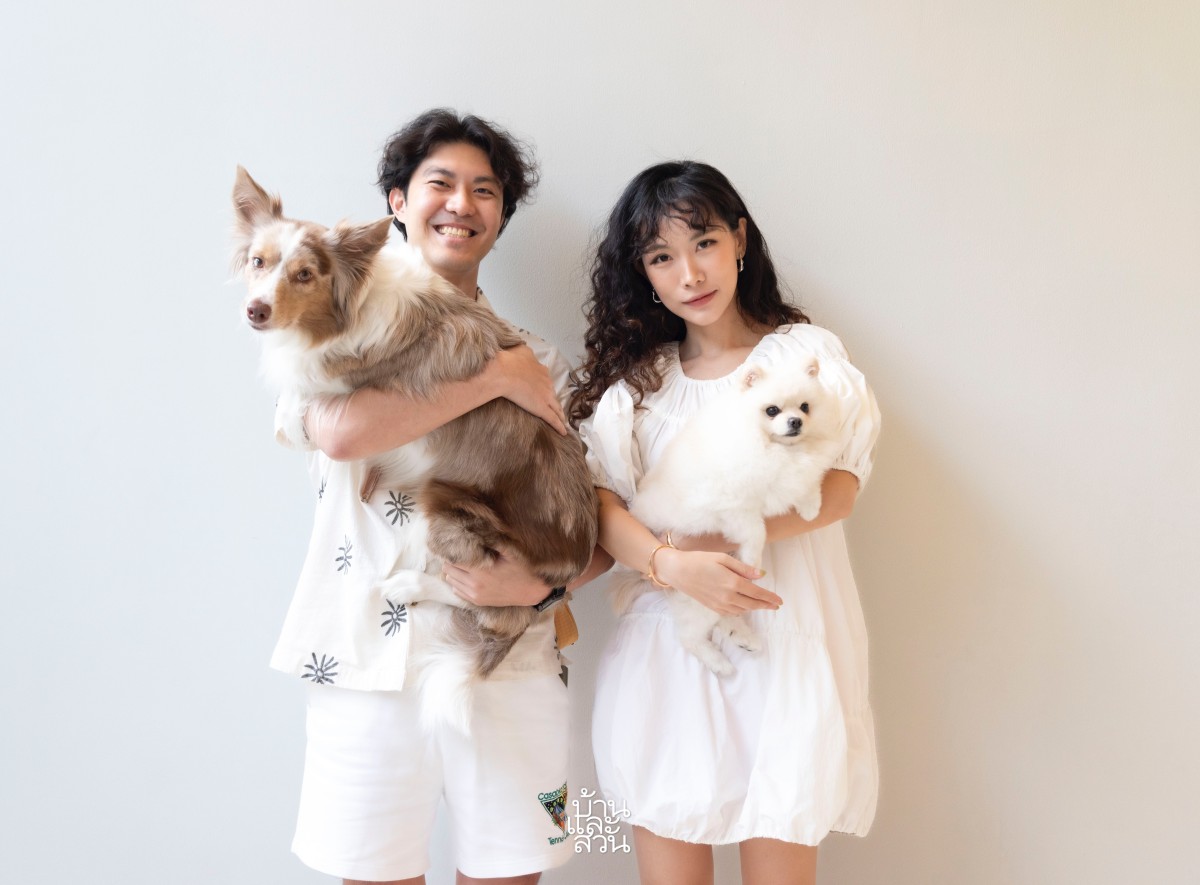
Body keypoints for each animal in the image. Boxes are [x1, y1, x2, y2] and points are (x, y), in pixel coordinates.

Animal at [622, 356, 842, 675]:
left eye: (805, 407)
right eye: (772, 410)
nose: (796, 422)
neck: (773, 447)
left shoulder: (794, 473)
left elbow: (805, 484)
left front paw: (811, 507)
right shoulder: (733, 505)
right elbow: (756, 531)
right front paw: (752, 561)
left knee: (723, 615)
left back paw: (744, 638)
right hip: (695, 592)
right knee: (690, 636)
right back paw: (720, 663)